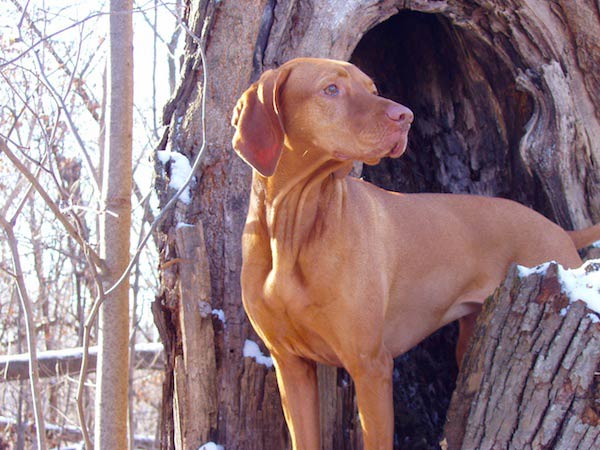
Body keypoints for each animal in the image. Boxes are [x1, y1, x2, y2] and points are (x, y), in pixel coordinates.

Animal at [231, 58, 600, 448]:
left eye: (373, 89)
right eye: (331, 89)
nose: (405, 116)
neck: (293, 228)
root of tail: (558, 229)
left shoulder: (371, 365)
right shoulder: (290, 363)